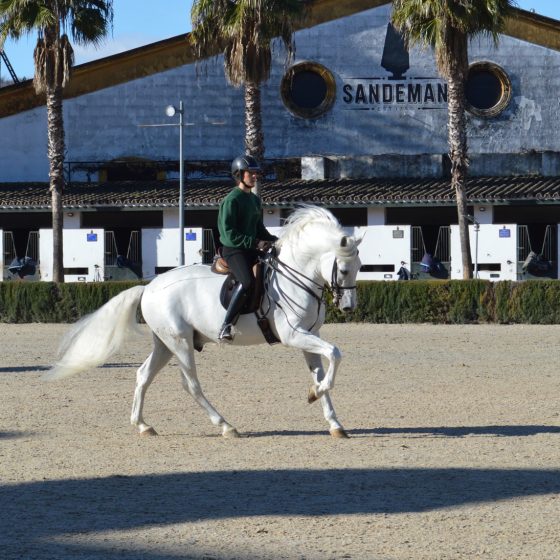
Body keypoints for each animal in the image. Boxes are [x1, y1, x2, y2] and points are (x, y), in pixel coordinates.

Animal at [44, 206, 364, 438]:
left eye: (360, 267)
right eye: (344, 269)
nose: (349, 307)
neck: (296, 275)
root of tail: (149, 287)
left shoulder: (309, 336)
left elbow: (323, 370)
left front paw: (333, 421)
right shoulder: (294, 335)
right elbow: (335, 353)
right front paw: (315, 395)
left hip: (165, 344)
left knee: (143, 375)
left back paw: (143, 425)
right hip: (180, 343)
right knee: (191, 385)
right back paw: (226, 426)